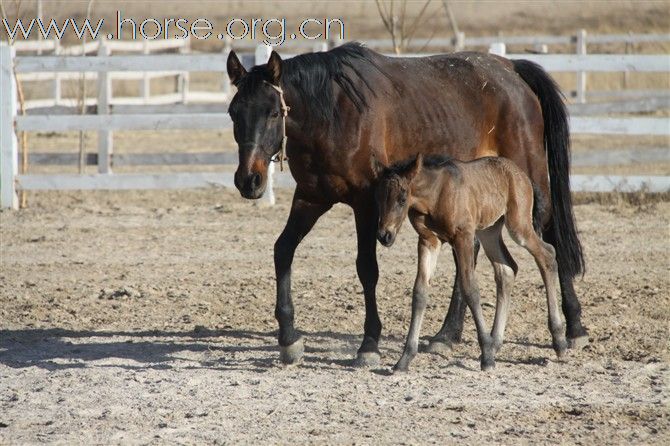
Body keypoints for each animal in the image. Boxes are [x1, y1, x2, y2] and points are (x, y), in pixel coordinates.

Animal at [376, 155, 568, 372]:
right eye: (378, 198)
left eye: (402, 199)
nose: (384, 236)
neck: (435, 196)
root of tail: (522, 175)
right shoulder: (428, 241)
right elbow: (419, 292)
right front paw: (404, 359)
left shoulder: (464, 237)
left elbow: (470, 289)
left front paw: (486, 357)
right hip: (489, 231)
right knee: (507, 269)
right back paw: (496, 342)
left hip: (518, 225)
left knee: (547, 255)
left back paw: (559, 341)